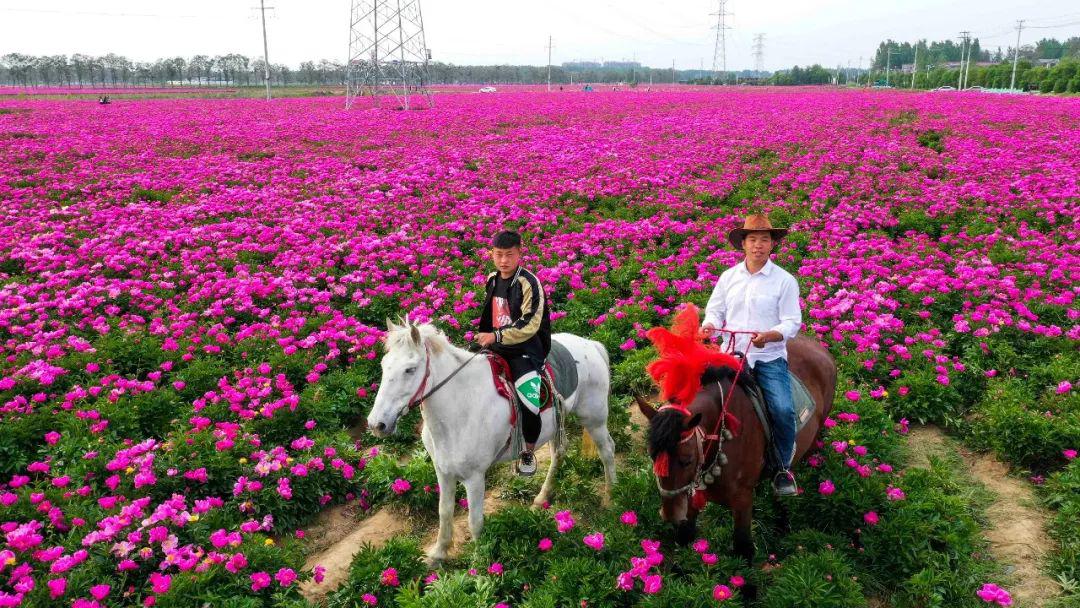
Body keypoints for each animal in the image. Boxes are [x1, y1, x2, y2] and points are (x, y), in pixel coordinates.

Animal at [367, 321, 617, 565]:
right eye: (383, 365)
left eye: (410, 369)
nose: (376, 424)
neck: (460, 407)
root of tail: (591, 344)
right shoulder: (443, 471)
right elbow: (444, 512)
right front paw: (438, 554)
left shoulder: (474, 478)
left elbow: (475, 521)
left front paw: (480, 562)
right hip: (557, 424)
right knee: (559, 453)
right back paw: (542, 498)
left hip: (593, 419)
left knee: (607, 450)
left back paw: (611, 497)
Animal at [635, 336, 838, 565]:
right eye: (652, 456)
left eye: (686, 460)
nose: (670, 515)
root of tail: (819, 347)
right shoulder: (691, 494)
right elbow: (685, 537)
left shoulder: (741, 500)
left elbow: (743, 548)